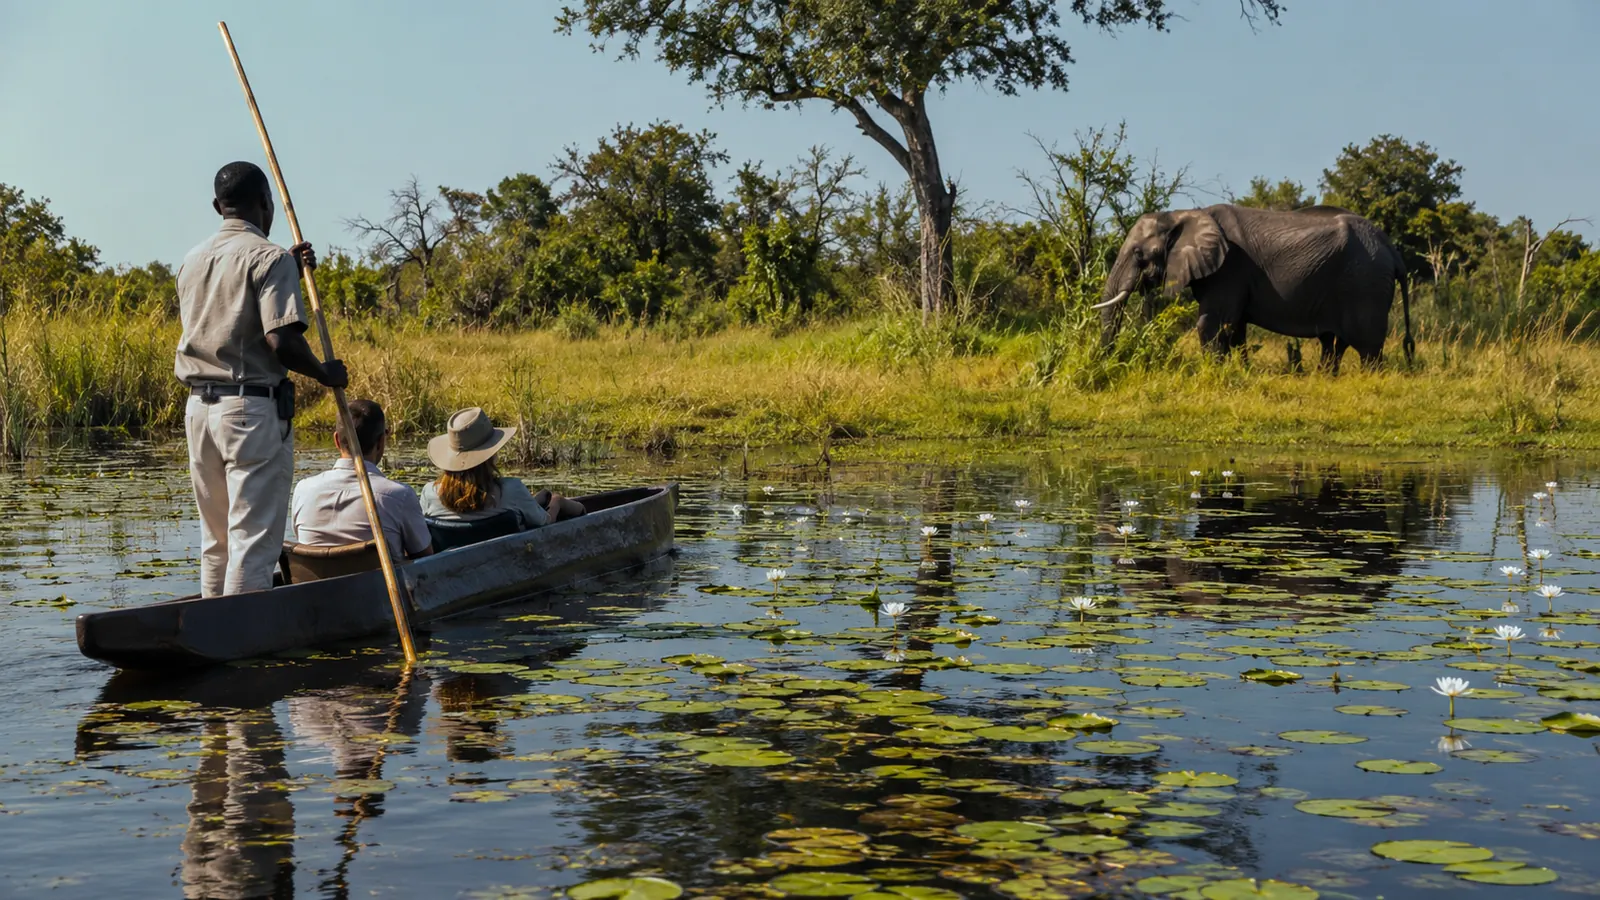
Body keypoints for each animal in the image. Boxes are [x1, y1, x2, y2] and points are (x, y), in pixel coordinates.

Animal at [1095, 204, 1415, 371]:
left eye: (1139, 254)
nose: (1109, 361)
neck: (1182, 214)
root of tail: (1392, 249)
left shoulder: (1230, 269)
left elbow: (1211, 324)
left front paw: (1215, 372)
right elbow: (1235, 329)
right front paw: (1239, 371)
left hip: (1364, 284)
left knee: (1366, 345)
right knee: (1333, 343)